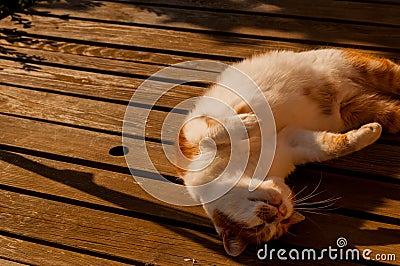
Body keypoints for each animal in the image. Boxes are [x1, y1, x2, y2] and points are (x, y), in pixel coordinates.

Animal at [175, 48, 400, 256]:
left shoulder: (192, 132)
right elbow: (331, 145)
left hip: (365, 67)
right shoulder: (292, 141)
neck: (249, 171)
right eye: (266, 227)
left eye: (260, 225)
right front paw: (370, 132)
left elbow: (215, 134)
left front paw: (249, 122)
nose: (280, 211)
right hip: (361, 108)